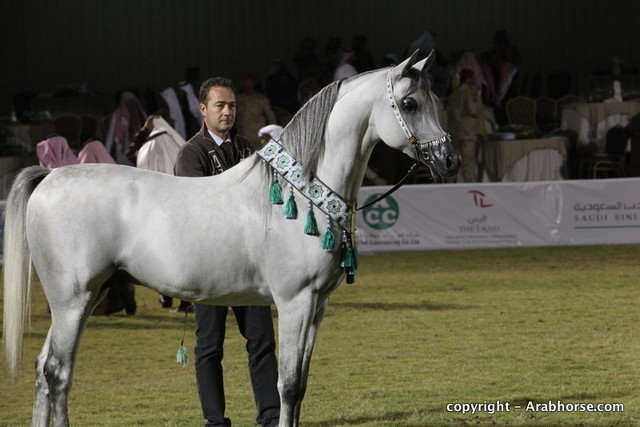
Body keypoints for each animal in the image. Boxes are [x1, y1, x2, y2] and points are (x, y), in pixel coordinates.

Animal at [3, 50, 459, 427]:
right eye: (409, 103)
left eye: (434, 100)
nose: (449, 160)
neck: (296, 194)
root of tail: (50, 177)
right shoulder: (295, 302)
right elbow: (287, 384)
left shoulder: (318, 306)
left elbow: (301, 385)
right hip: (72, 299)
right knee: (57, 373)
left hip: (84, 298)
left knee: (45, 371)